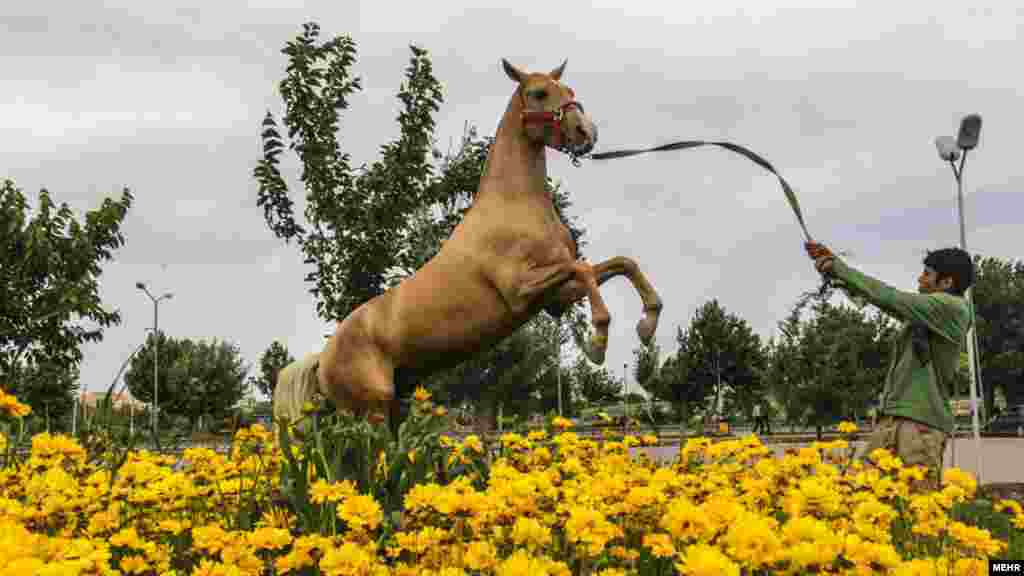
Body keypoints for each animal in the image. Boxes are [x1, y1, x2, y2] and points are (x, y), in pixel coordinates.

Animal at [274, 59, 663, 430]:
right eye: (538, 93)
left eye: (569, 90)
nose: (586, 133)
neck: (515, 205)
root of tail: (322, 358)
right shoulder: (521, 290)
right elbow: (582, 268)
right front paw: (597, 344)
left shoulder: (554, 298)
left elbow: (620, 264)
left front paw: (647, 324)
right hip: (370, 411)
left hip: (392, 406)